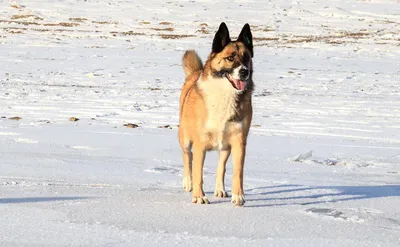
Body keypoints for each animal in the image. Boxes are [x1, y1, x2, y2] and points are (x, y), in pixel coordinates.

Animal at [178, 22, 253, 206]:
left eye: (246, 57)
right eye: (230, 58)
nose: (244, 72)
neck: (224, 94)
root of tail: (195, 73)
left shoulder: (239, 141)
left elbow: (237, 172)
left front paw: (238, 196)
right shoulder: (200, 143)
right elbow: (198, 172)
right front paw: (199, 196)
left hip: (225, 146)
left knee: (221, 166)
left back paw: (220, 189)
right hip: (184, 138)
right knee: (187, 156)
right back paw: (188, 183)